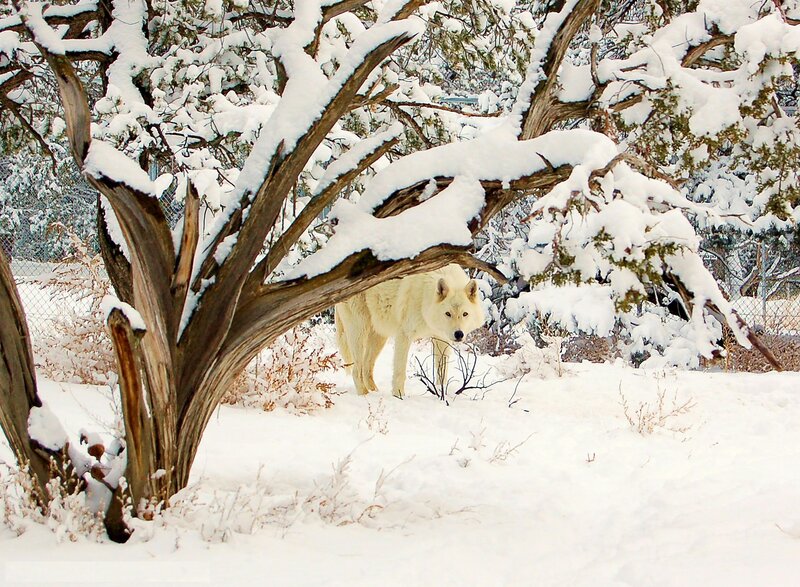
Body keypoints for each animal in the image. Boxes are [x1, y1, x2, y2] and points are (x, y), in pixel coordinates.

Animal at [335, 264, 485, 399]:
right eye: (448, 313)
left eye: (465, 314)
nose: (458, 334)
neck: (425, 299)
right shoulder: (404, 335)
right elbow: (400, 372)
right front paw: (399, 396)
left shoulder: (442, 340)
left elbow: (442, 373)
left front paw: (442, 395)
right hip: (360, 331)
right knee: (356, 371)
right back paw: (364, 396)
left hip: (379, 337)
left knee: (367, 368)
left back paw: (375, 392)